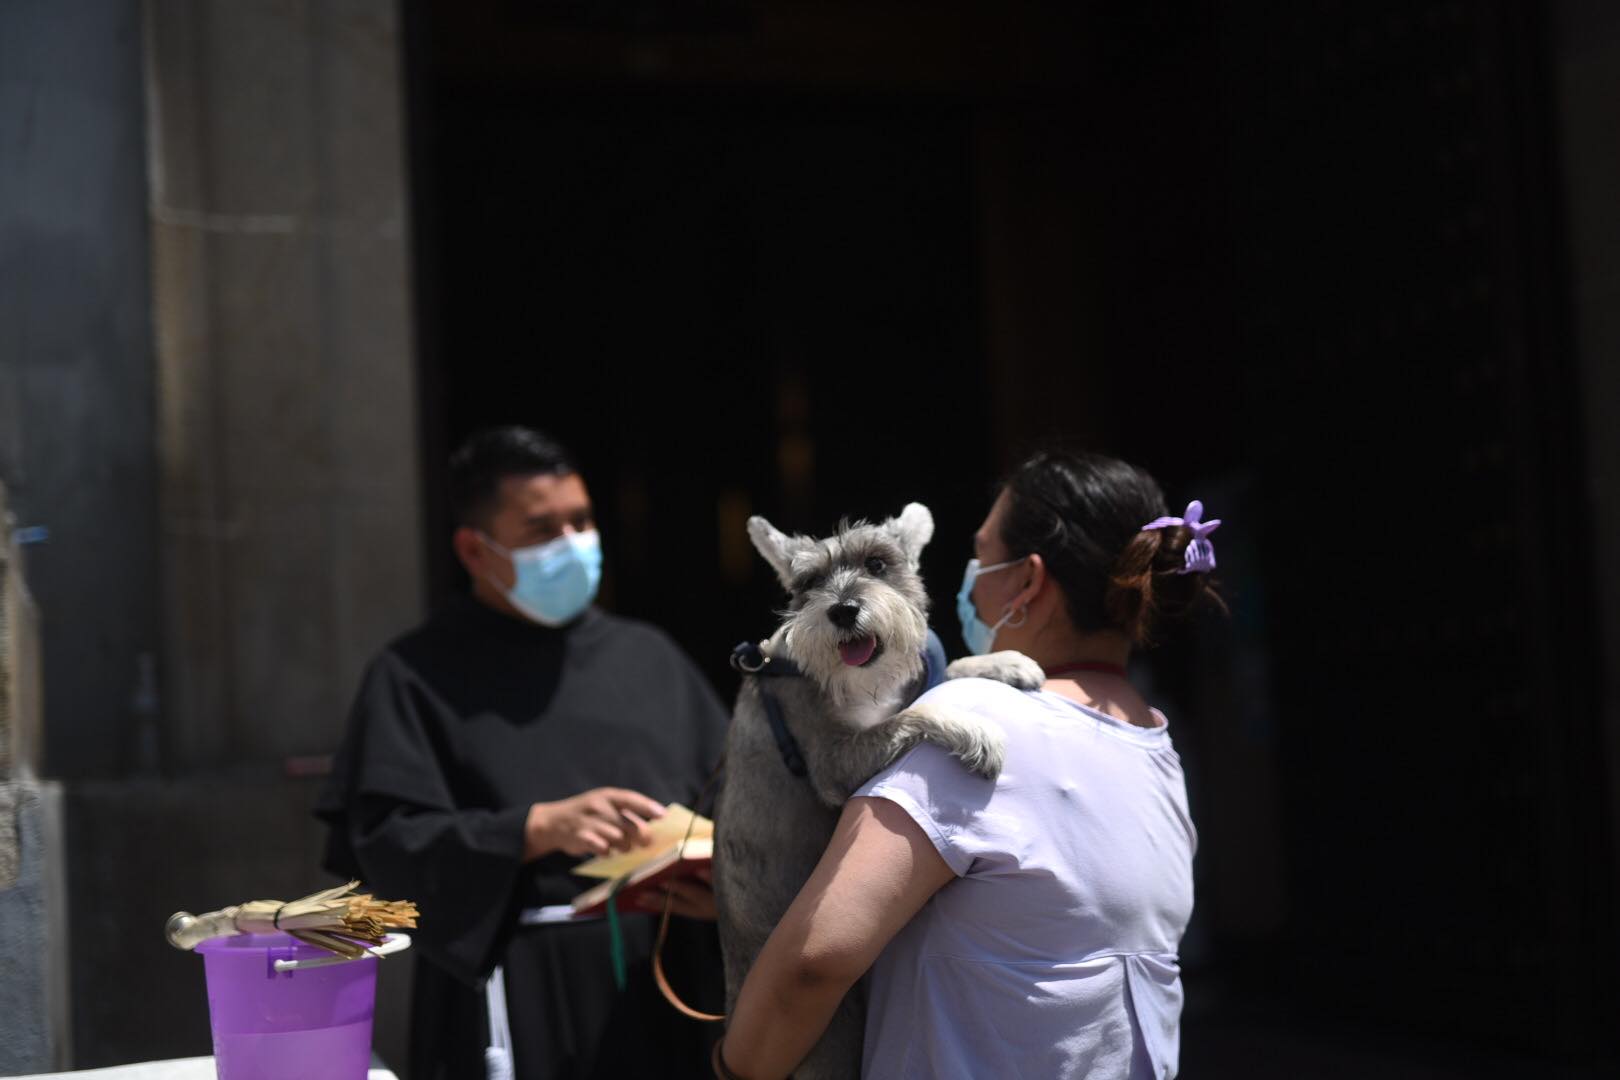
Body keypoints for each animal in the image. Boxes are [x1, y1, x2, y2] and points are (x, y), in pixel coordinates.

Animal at [716, 508, 1043, 1080]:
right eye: (808, 583)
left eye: (876, 564)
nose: (843, 610)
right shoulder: (834, 761)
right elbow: (915, 712)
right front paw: (972, 728)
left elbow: (936, 679)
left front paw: (1002, 662)